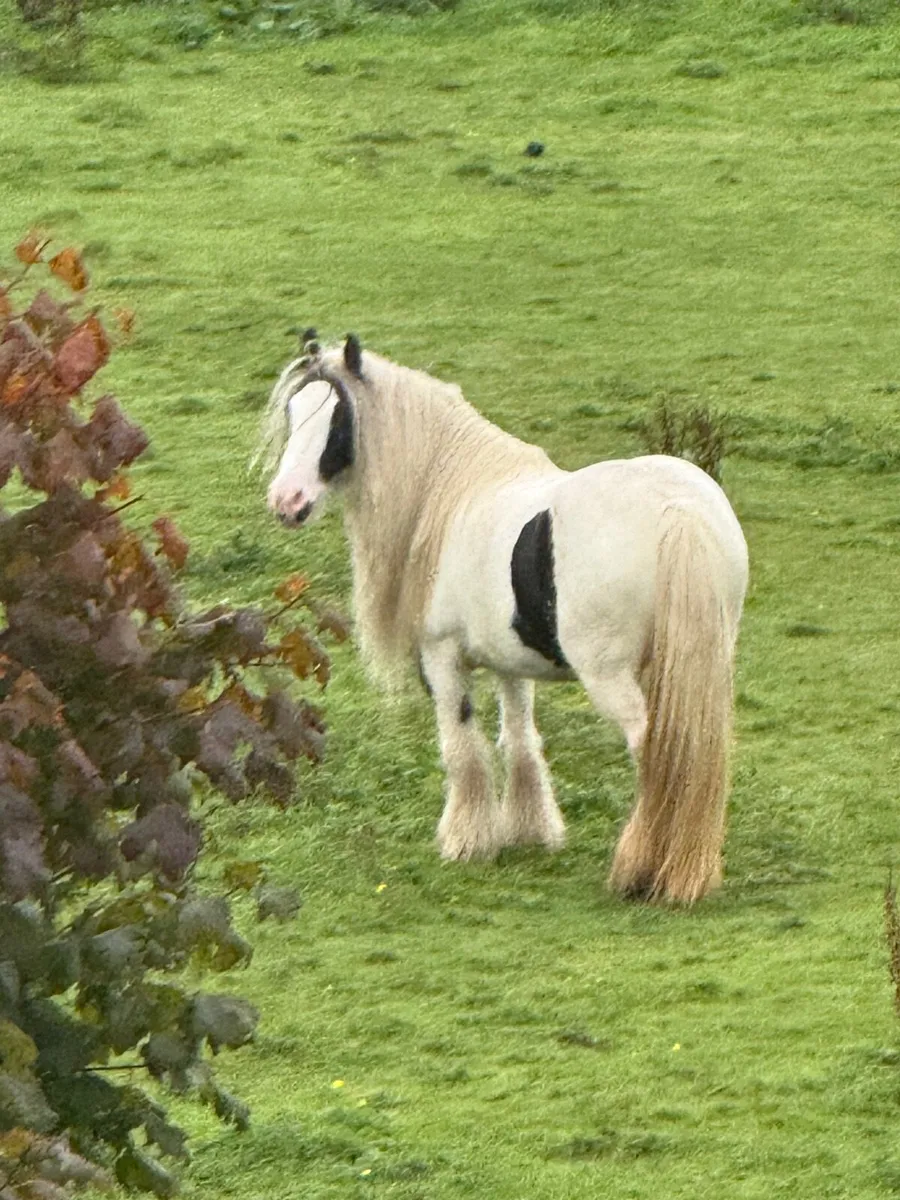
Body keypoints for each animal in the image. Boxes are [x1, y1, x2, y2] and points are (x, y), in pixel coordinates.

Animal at [259, 331, 749, 903]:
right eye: (293, 412)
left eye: (338, 421)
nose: (286, 500)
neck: (453, 491)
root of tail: (677, 510)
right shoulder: (511, 662)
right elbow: (519, 739)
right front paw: (530, 830)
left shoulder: (443, 657)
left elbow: (462, 747)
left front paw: (466, 840)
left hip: (612, 677)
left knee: (653, 751)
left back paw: (643, 869)